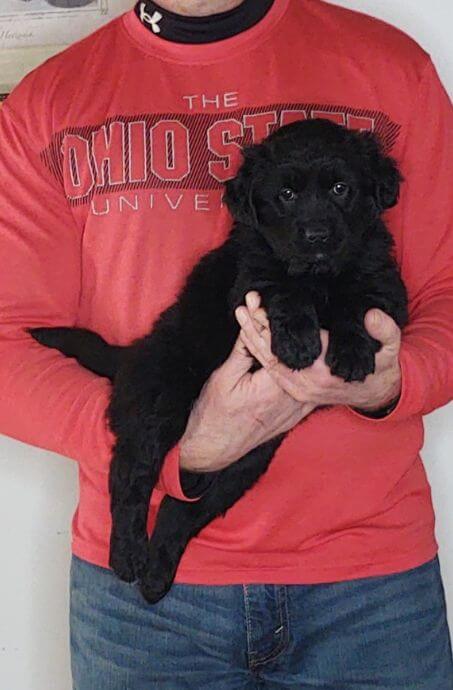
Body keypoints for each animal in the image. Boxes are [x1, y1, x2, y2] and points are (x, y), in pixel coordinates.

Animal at [30, 119, 408, 600]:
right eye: (286, 194)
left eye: (341, 188)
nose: (317, 237)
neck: (319, 275)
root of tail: (133, 353)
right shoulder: (250, 278)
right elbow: (283, 286)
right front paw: (298, 341)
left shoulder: (385, 285)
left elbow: (357, 300)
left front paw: (353, 351)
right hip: (161, 400)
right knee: (129, 472)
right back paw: (127, 556)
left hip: (245, 462)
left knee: (181, 509)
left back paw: (156, 575)